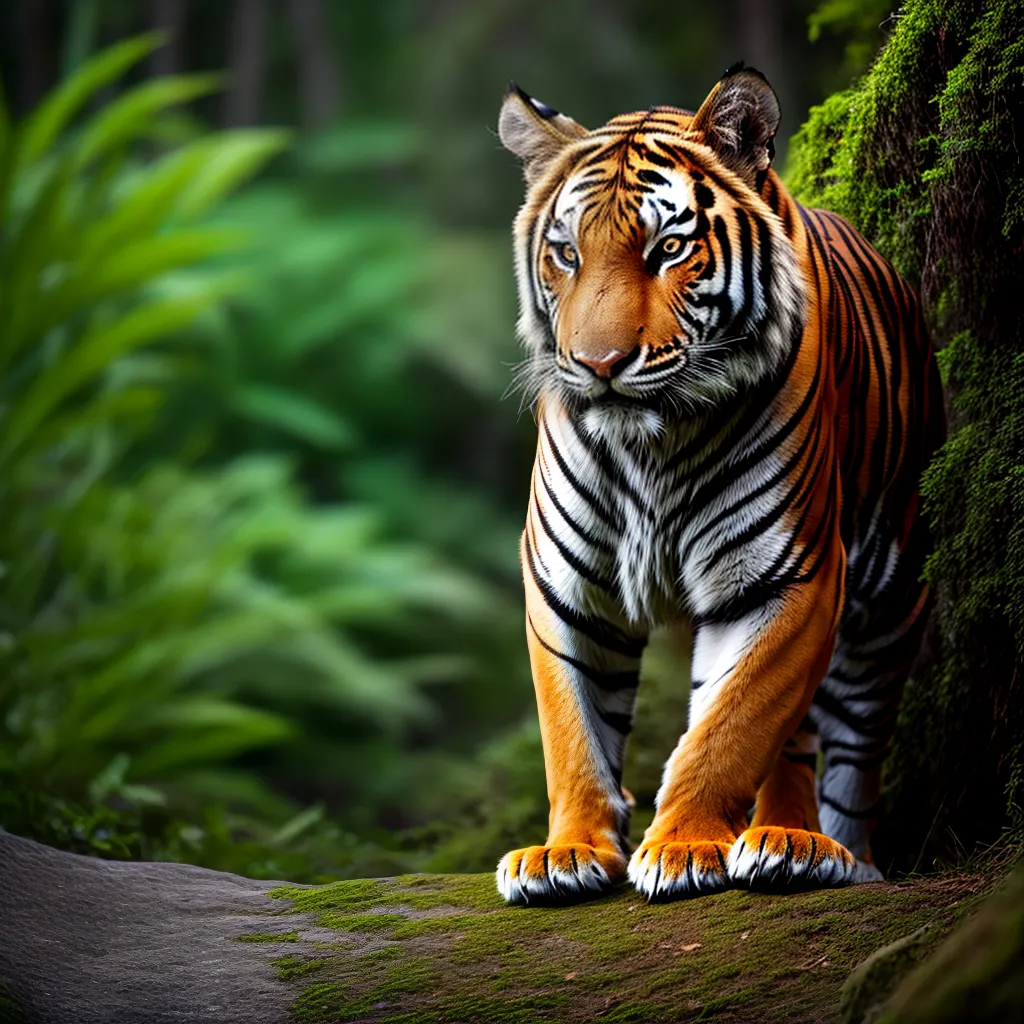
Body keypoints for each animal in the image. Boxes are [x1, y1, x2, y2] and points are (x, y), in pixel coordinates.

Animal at [494, 64, 945, 904]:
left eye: (669, 248)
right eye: (566, 253)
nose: (598, 365)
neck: (651, 444)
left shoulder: (789, 577)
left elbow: (732, 728)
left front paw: (681, 848)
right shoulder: (567, 584)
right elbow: (574, 732)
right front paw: (566, 854)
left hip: (894, 595)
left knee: (849, 754)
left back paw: (820, 849)